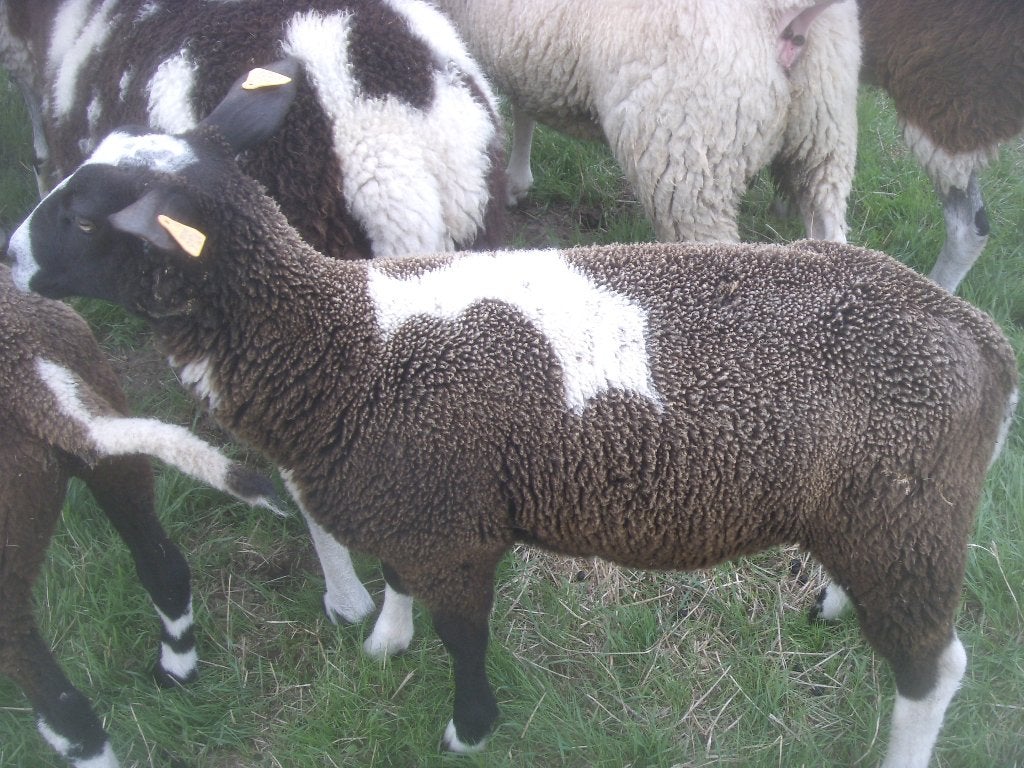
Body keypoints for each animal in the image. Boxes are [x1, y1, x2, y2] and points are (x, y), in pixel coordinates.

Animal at [428, 0, 861, 244]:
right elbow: (523, 107)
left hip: (687, 152)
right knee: (830, 228)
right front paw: (517, 180)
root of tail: (788, 18)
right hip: (825, 129)